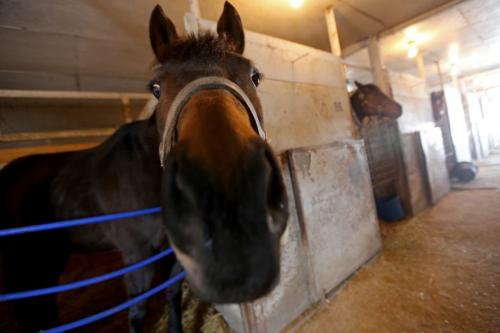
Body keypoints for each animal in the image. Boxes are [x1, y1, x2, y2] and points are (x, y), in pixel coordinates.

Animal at [0, 1, 290, 330]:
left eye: (255, 76)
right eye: (156, 88)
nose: (231, 214)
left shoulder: (172, 253)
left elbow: (172, 293)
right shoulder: (136, 255)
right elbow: (137, 312)